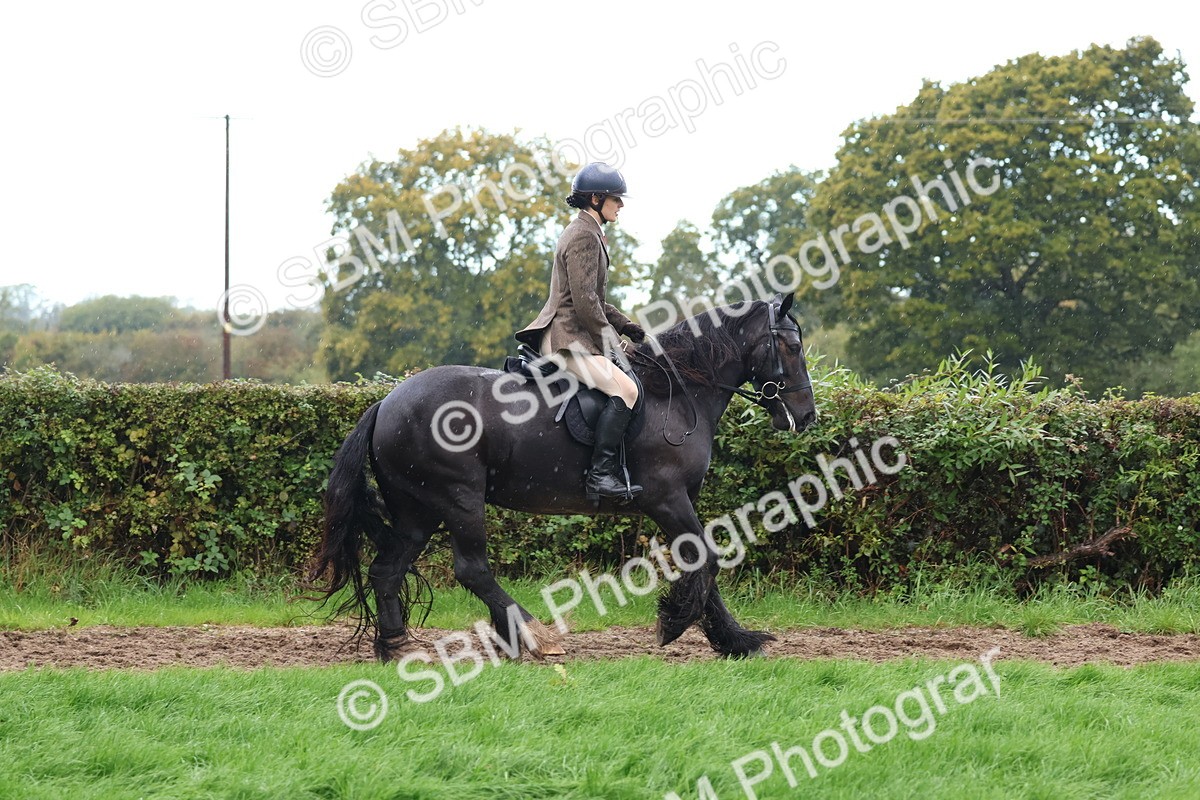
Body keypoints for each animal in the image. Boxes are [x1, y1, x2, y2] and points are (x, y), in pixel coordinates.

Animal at [310, 292, 817, 660]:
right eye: (792, 347)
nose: (807, 417)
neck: (674, 393)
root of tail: (387, 402)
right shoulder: (667, 499)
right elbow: (706, 559)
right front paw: (675, 624)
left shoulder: (676, 503)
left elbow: (699, 562)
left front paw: (736, 640)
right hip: (458, 497)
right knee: (471, 569)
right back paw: (534, 637)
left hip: (418, 509)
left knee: (387, 570)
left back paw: (396, 647)